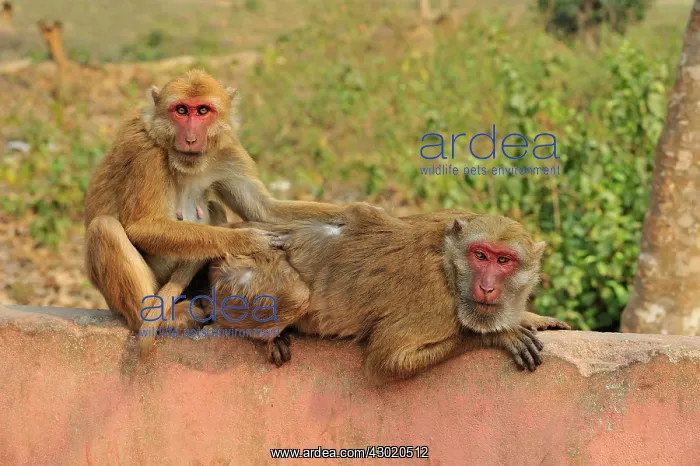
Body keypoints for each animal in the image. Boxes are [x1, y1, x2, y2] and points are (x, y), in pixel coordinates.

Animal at [83, 69, 350, 356]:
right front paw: (249, 239)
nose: (190, 139)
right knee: (105, 228)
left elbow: (264, 208)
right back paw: (158, 317)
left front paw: (356, 212)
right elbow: (143, 226)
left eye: (203, 111)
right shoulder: (146, 152)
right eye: (181, 110)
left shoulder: (228, 150)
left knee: (214, 207)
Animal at [203, 204, 569, 379]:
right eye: (480, 255)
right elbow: (387, 363)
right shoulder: (434, 303)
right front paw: (498, 336)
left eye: (504, 260)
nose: (487, 286)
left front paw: (531, 317)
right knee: (294, 294)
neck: (449, 264)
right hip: (238, 274)